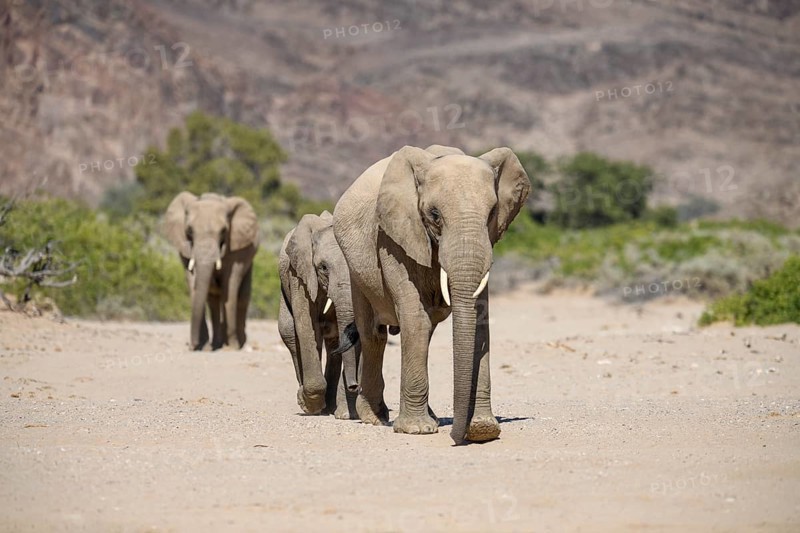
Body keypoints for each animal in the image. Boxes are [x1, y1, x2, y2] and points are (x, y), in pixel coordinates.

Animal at [165, 192, 259, 351]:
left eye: (223, 231)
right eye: (189, 230)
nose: (191, 346)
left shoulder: (236, 248)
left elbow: (230, 288)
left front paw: (231, 347)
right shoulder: (185, 249)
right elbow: (194, 285)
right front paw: (204, 348)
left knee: (242, 296)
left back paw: (239, 343)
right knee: (213, 301)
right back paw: (217, 344)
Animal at [278, 212, 360, 417]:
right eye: (323, 267)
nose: (355, 386)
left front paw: (344, 414)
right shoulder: (299, 273)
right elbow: (306, 324)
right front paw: (309, 405)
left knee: (333, 340)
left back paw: (330, 407)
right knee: (289, 332)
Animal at [333, 144, 531, 445]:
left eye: (492, 212)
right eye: (435, 215)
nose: (458, 438)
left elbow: (479, 321)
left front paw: (483, 429)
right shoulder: (394, 236)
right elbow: (414, 316)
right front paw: (416, 430)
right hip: (355, 271)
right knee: (373, 335)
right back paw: (374, 418)